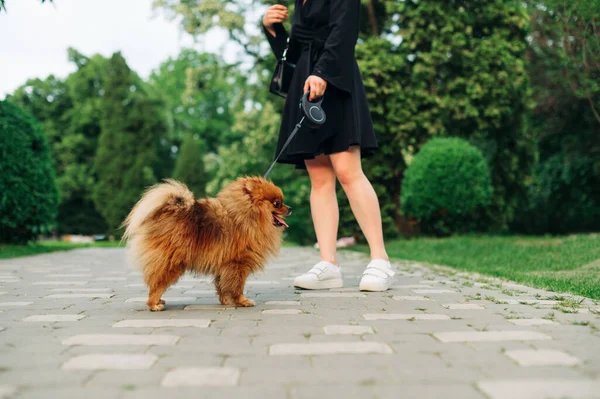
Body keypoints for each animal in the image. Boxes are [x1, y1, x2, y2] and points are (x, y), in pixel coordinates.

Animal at [120, 178, 290, 312]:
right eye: (277, 203)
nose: (290, 208)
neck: (247, 216)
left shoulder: (225, 264)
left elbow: (222, 285)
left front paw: (226, 300)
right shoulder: (237, 263)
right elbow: (237, 285)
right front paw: (242, 301)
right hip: (172, 262)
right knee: (157, 283)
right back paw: (154, 304)